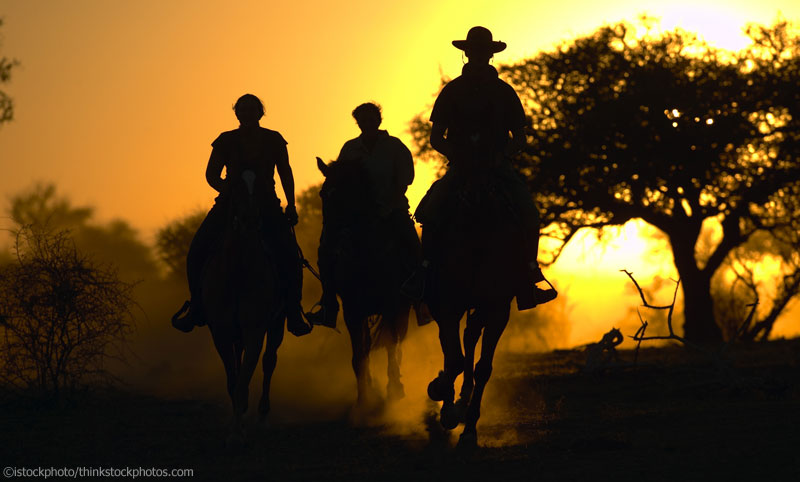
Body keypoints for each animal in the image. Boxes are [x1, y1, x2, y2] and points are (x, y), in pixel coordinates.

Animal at [202, 169, 286, 444]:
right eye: (236, 185)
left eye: (261, 185)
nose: (250, 220)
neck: (238, 269)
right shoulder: (220, 330)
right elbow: (233, 379)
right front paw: (234, 425)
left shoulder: (255, 330)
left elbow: (245, 376)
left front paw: (239, 431)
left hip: (277, 324)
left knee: (269, 361)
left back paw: (261, 416)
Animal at [316, 157, 410, 410]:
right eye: (323, 194)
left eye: (346, 194)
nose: (328, 243)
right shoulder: (353, 311)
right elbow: (359, 356)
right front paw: (363, 399)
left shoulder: (391, 305)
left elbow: (390, 344)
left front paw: (394, 389)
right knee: (368, 346)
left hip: (403, 308)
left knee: (398, 342)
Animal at [418, 164, 532, 450]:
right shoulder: (448, 305)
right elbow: (454, 360)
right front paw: (441, 396)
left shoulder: (498, 309)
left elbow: (482, 368)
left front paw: (469, 431)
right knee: (456, 347)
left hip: (480, 308)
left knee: (470, 337)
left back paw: (462, 399)